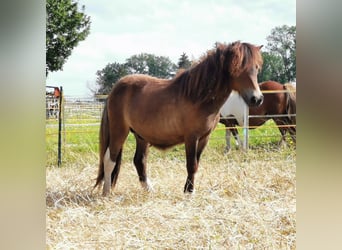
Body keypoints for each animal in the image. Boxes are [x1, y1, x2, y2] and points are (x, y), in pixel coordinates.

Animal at [92, 41, 264, 195]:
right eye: (237, 68)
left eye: (256, 68)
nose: (257, 99)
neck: (198, 97)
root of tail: (116, 88)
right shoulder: (191, 137)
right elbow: (191, 165)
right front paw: (189, 193)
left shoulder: (204, 138)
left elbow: (196, 164)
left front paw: (189, 190)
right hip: (119, 131)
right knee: (109, 160)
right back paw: (107, 193)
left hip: (141, 136)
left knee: (139, 161)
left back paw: (149, 190)